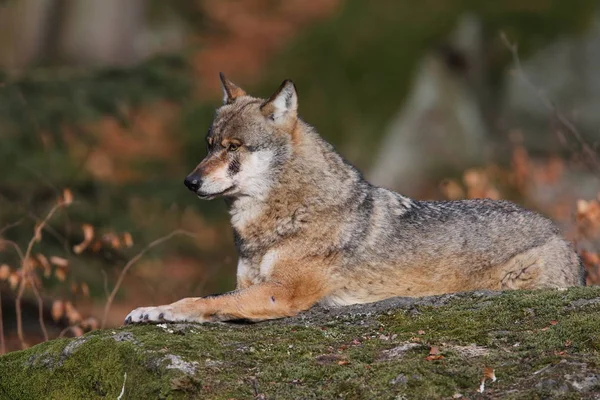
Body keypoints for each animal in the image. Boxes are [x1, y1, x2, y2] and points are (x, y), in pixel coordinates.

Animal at [125, 74, 580, 324]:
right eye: (208, 146)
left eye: (233, 148)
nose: (190, 182)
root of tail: (565, 240)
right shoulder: (251, 283)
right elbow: (215, 297)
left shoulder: (282, 293)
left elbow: (203, 300)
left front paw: (157, 310)